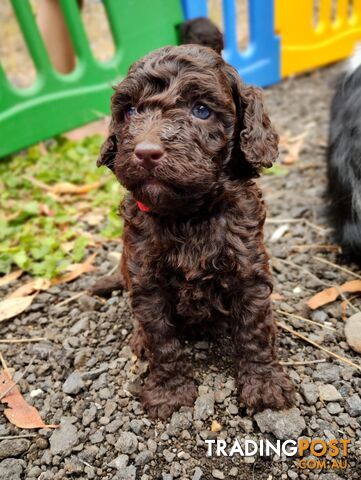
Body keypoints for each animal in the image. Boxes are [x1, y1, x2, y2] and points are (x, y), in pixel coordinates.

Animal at [95, 46, 292, 420]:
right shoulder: (147, 281)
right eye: (130, 110)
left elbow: (255, 331)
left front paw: (263, 385)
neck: (189, 216)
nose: (145, 153)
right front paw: (169, 391)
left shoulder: (249, 271)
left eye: (201, 110)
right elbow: (161, 339)